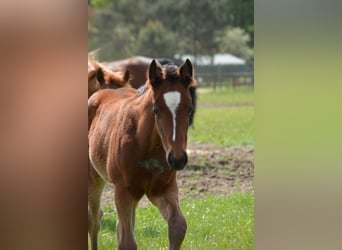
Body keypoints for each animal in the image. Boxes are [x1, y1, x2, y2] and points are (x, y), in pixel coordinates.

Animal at [87, 59, 195, 249]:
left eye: (189, 109)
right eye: (156, 109)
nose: (177, 159)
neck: (146, 145)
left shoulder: (162, 188)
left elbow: (178, 226)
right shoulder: (123, 190)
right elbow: (127, 242)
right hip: (95, 177)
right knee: (94, 220)